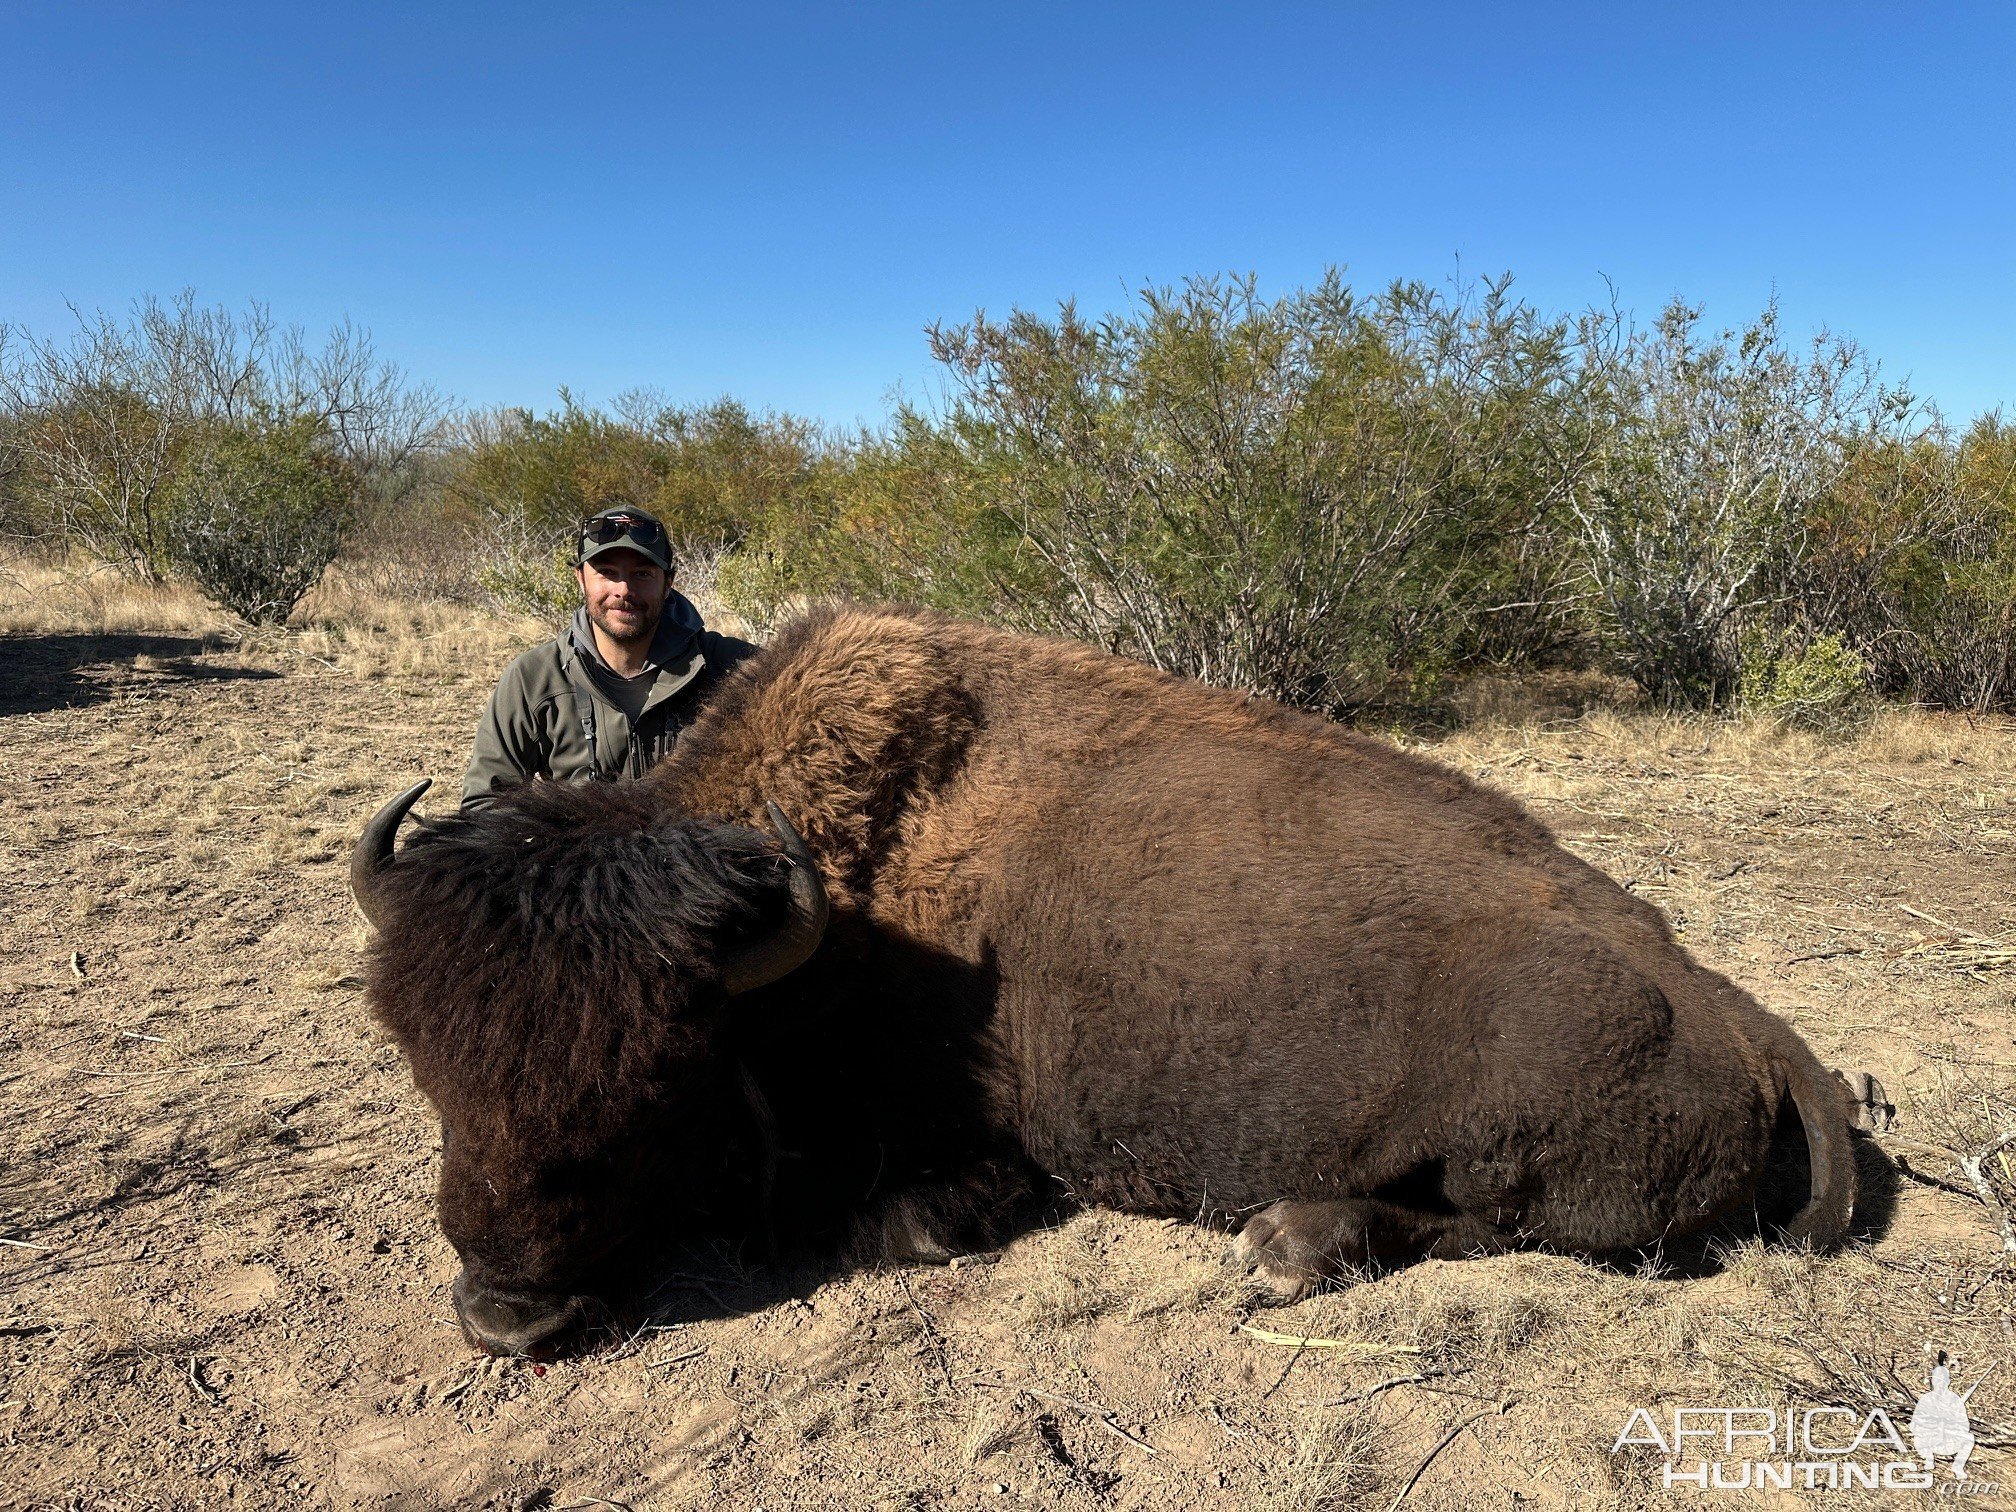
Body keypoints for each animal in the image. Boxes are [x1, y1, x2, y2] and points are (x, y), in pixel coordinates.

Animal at [346, 604, 1854, 1362]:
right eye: (425, 1063)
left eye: (661, 1080)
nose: (508, 1313)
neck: (827, 909)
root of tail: (1734, 1009)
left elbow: (906, 1219)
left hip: (1514, 1145)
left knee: (1495, 1228)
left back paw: (1285, 1242)